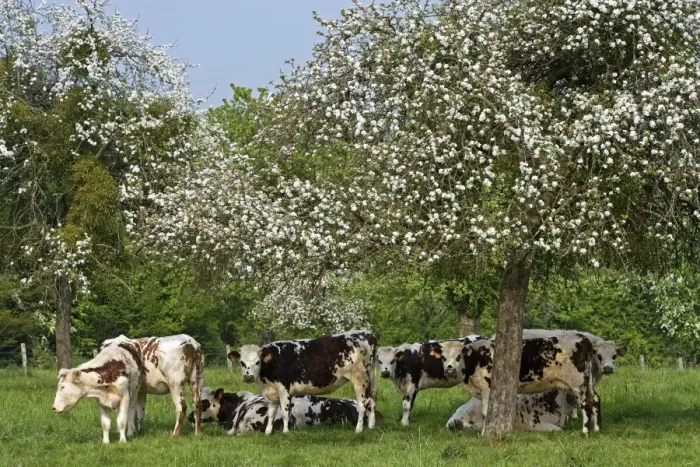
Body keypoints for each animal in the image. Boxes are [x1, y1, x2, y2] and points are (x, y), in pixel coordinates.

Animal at [228, 330, 377, 435]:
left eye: (257, 362)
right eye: (242, 363)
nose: (248, 377)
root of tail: (366, 333)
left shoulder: (284, 389)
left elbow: (284, 412)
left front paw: (285, 432)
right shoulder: (271, 393)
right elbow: (271, 413)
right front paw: (268, 432)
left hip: (360, 379)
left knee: (362, 404)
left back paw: (359, 429)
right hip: (370, 379)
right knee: (371, 401)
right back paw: (371, 427)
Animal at [461, 335, 597, 437]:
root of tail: (582, 338)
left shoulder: (486, 388)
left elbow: (486, 413)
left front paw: (484, 433)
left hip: (578, 383)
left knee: (586, 405)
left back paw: (585, 431)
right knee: (595, 400)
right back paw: (596, 428)